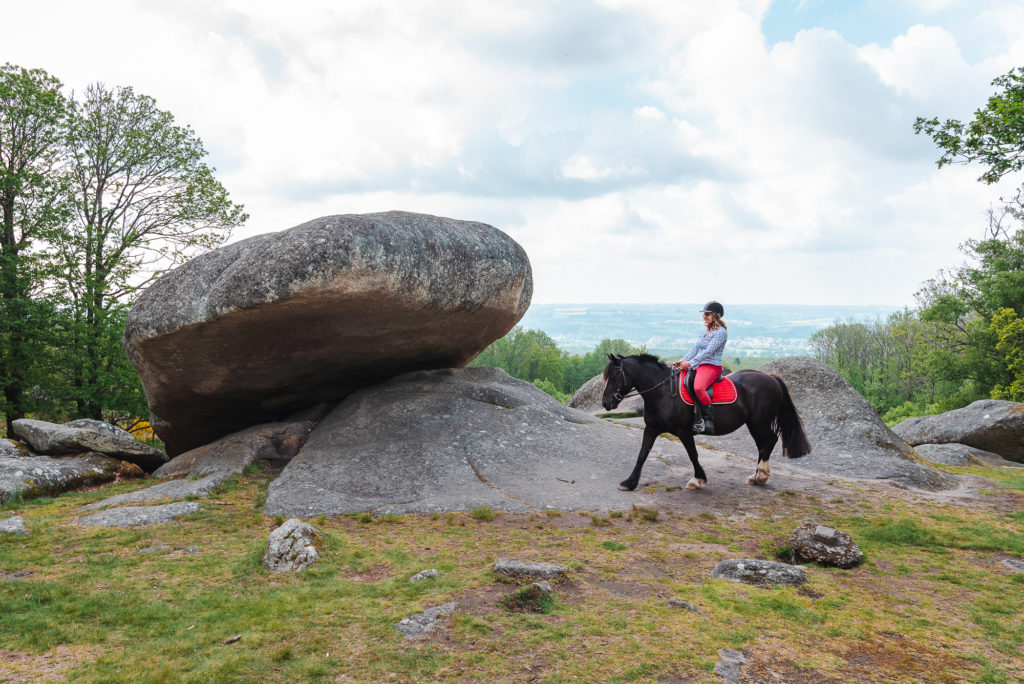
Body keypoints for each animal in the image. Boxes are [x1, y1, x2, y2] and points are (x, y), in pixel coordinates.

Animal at [598, 352, 806, 491]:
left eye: (614, 376)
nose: (605, 403)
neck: (663, 392)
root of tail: (771, 378)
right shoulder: (651, 429)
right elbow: (642, 455)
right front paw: (629, 482)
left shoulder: (684, 432)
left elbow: (693, 455)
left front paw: (698, 479)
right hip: (754, 424)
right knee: (763, 445)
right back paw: (756, 477)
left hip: (759, 422)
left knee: (769, 441)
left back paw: (761, 475)